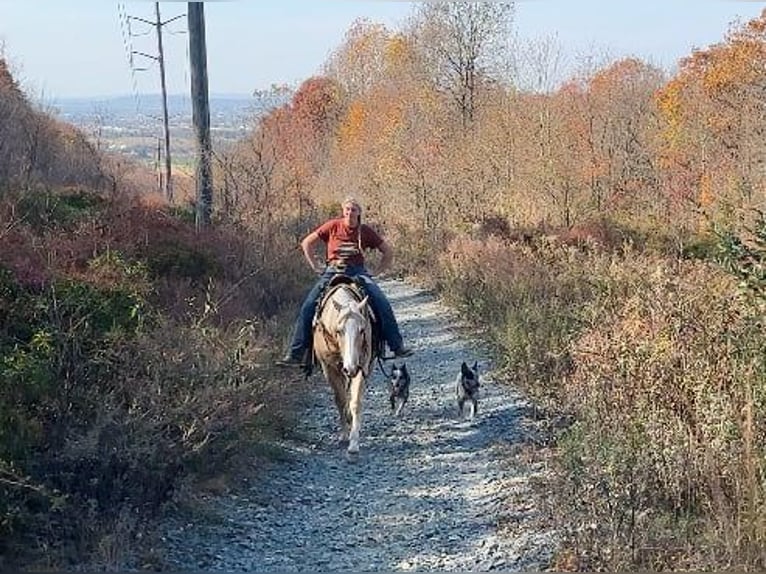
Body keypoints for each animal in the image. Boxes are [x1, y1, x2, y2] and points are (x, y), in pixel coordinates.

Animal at [310, 282, 374, 456]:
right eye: (339, 330)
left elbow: (355, 401)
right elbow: (340, 399)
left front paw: (353, 443)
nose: (350, 368)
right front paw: (344, 435)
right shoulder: (329, 368)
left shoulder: (361, 366)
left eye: (362, 330)